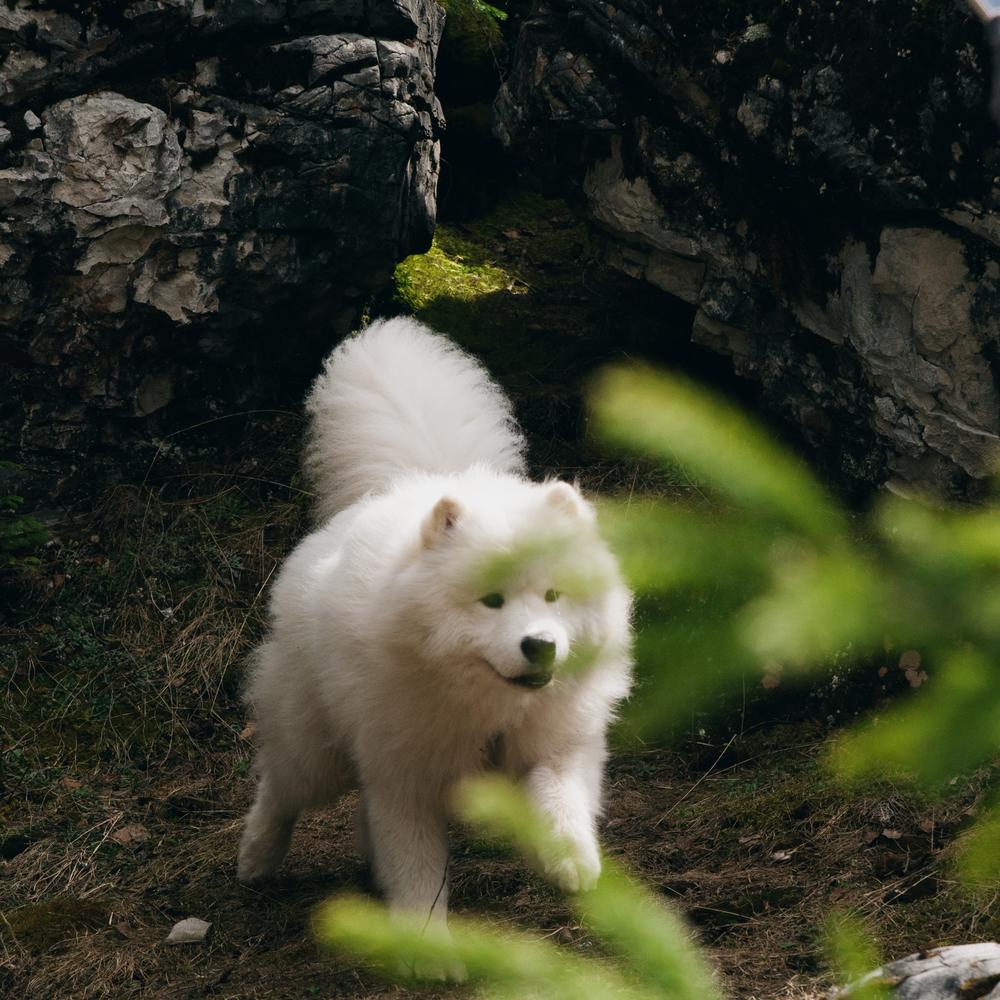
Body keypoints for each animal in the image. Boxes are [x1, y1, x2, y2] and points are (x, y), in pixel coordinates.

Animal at [237, 318, 628, 936]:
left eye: (553, 596)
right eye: (490, 601)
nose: (541, 646)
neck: (488, 707)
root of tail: (411, 482)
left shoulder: (556, 746)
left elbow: (560, 801)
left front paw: (571, 862)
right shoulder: (406, 780)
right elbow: (419, 871)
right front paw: (427, 943)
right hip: (315, 745)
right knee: (280, 786)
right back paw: (255, 857)